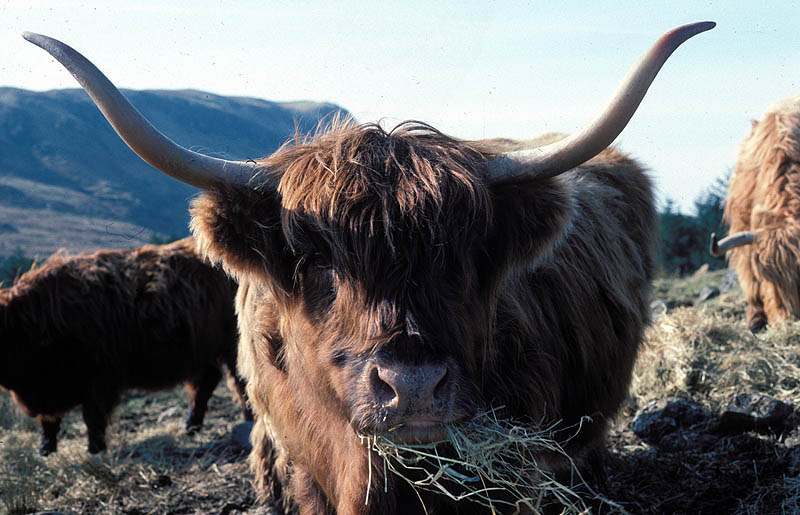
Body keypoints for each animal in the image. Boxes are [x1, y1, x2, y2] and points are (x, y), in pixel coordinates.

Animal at [0, 238, 252, 456]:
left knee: (240, 383)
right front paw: (45, 449)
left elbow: (93, 418)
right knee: (206, 383)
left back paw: (247, 421)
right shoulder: (48, 389)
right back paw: (191, 426)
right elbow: (49, 422)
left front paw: (95, 450)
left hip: (233, 347)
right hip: (202, 349)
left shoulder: (99, 379)